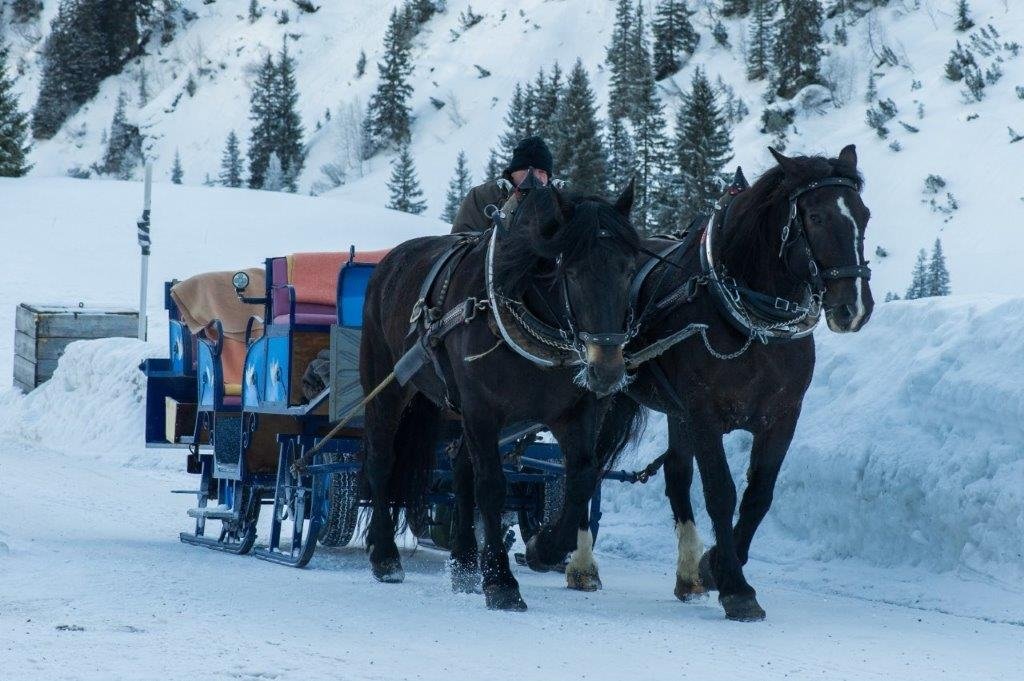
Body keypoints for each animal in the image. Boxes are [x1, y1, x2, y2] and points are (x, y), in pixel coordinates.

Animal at [359, 182, 643, 611]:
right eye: (572, 272)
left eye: (628, 269)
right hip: (388, 386)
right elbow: (492, 487)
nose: (607, 370)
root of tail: (389, 262)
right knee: (382, 461)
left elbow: (582, 476)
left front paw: (544, 548)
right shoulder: (482, 410)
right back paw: (385, 556)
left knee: (460, 466)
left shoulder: (574, 413)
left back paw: (463, 563)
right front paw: (501, 581)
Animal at [526, 145, 874, 621]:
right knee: (589, 465)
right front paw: (736, 587)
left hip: (673, 410)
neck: (751, 321)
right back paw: (573, 558)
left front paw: (713, 567)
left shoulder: (782, 416)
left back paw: (687, 572)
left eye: (865, 214)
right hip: (605, 395)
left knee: (671, 474)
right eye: (816, 217)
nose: (853, 308)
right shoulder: (705, 413)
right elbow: (722, 493)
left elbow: (759, 495)